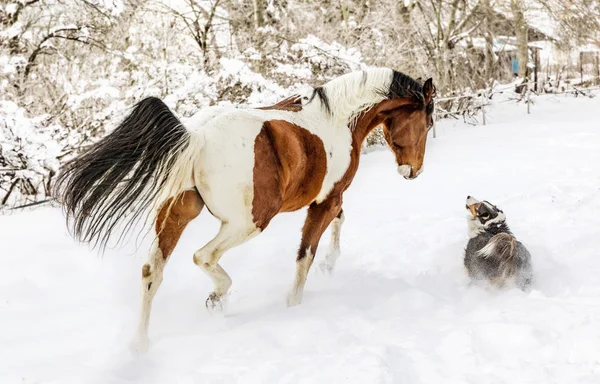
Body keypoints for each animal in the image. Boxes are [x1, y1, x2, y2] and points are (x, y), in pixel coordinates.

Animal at [54, 67, 434, 352]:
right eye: (428, 123)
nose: (413, 171)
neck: (338, 119)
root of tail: (196, 137)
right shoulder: (328, 199)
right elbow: (306, 254)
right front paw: (295, 303)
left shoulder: (327, 200)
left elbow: (336, 227)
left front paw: (329, 266)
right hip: (248, 222)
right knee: (202, 256)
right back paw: (216, 298)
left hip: (178, 213)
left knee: (152, 272)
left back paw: (140, 345)